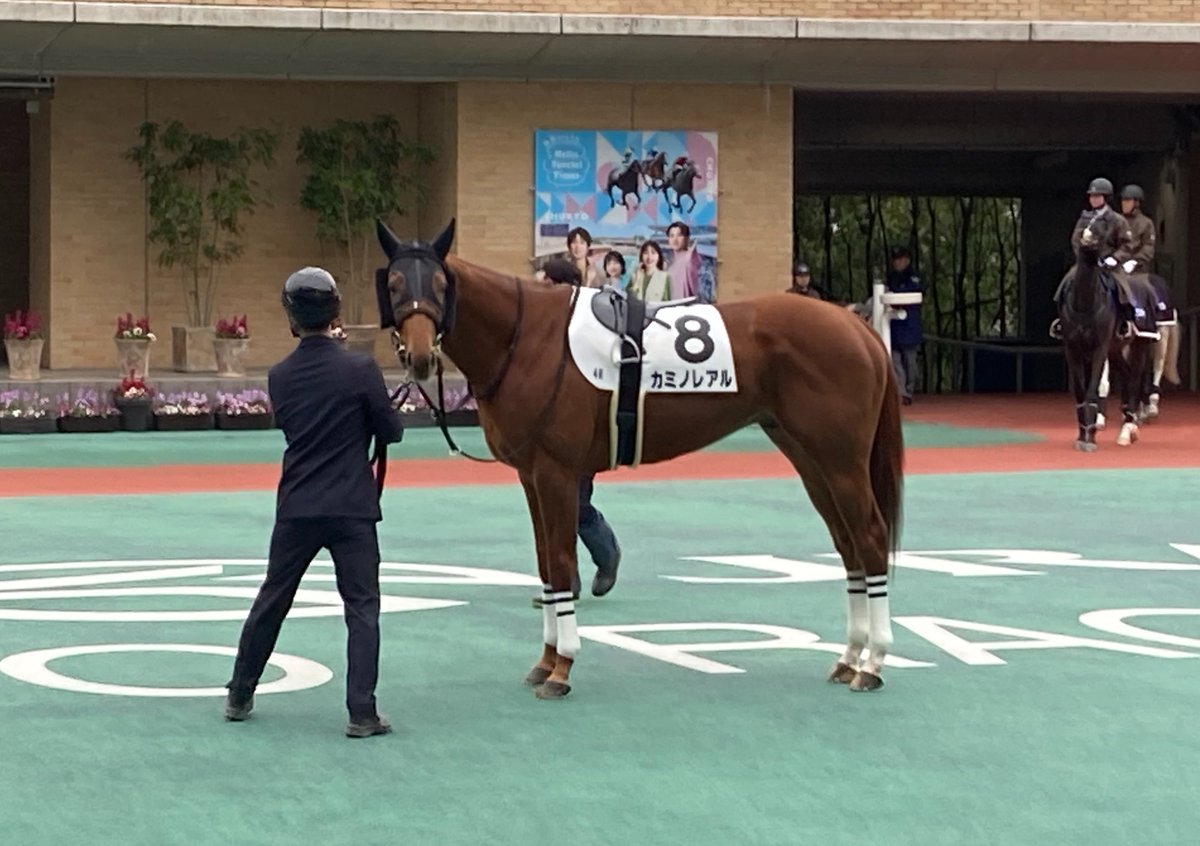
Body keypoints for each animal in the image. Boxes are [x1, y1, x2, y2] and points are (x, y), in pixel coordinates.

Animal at [374, 217, 905, 699]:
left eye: (440, 284)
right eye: (395, 283)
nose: (419, 357)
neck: (526, 338)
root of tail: (856, 326)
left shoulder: (556, 472)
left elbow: (561, 562)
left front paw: (562, 667)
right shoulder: (530, 476)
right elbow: (545, 564)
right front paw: (544, 661)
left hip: (841, 462)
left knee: (870, 539)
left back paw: (874, 662)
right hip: (812, 460)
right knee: (848, 545)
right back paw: (848, 657)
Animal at [1055, 214, 1156, 450]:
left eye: (1105, 223)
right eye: (1085, 222)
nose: (1087, 236)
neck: (1084, 302)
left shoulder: (1098, 349)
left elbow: (1093, 389)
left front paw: (1090, 436)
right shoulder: (1073, 349)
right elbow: (1080, 392)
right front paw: (1082, 434)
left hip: (1140, 345)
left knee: (1134, 379)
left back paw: (1128, 428)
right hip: (1115, 349)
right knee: (1127, 376)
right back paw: (1128, 420)